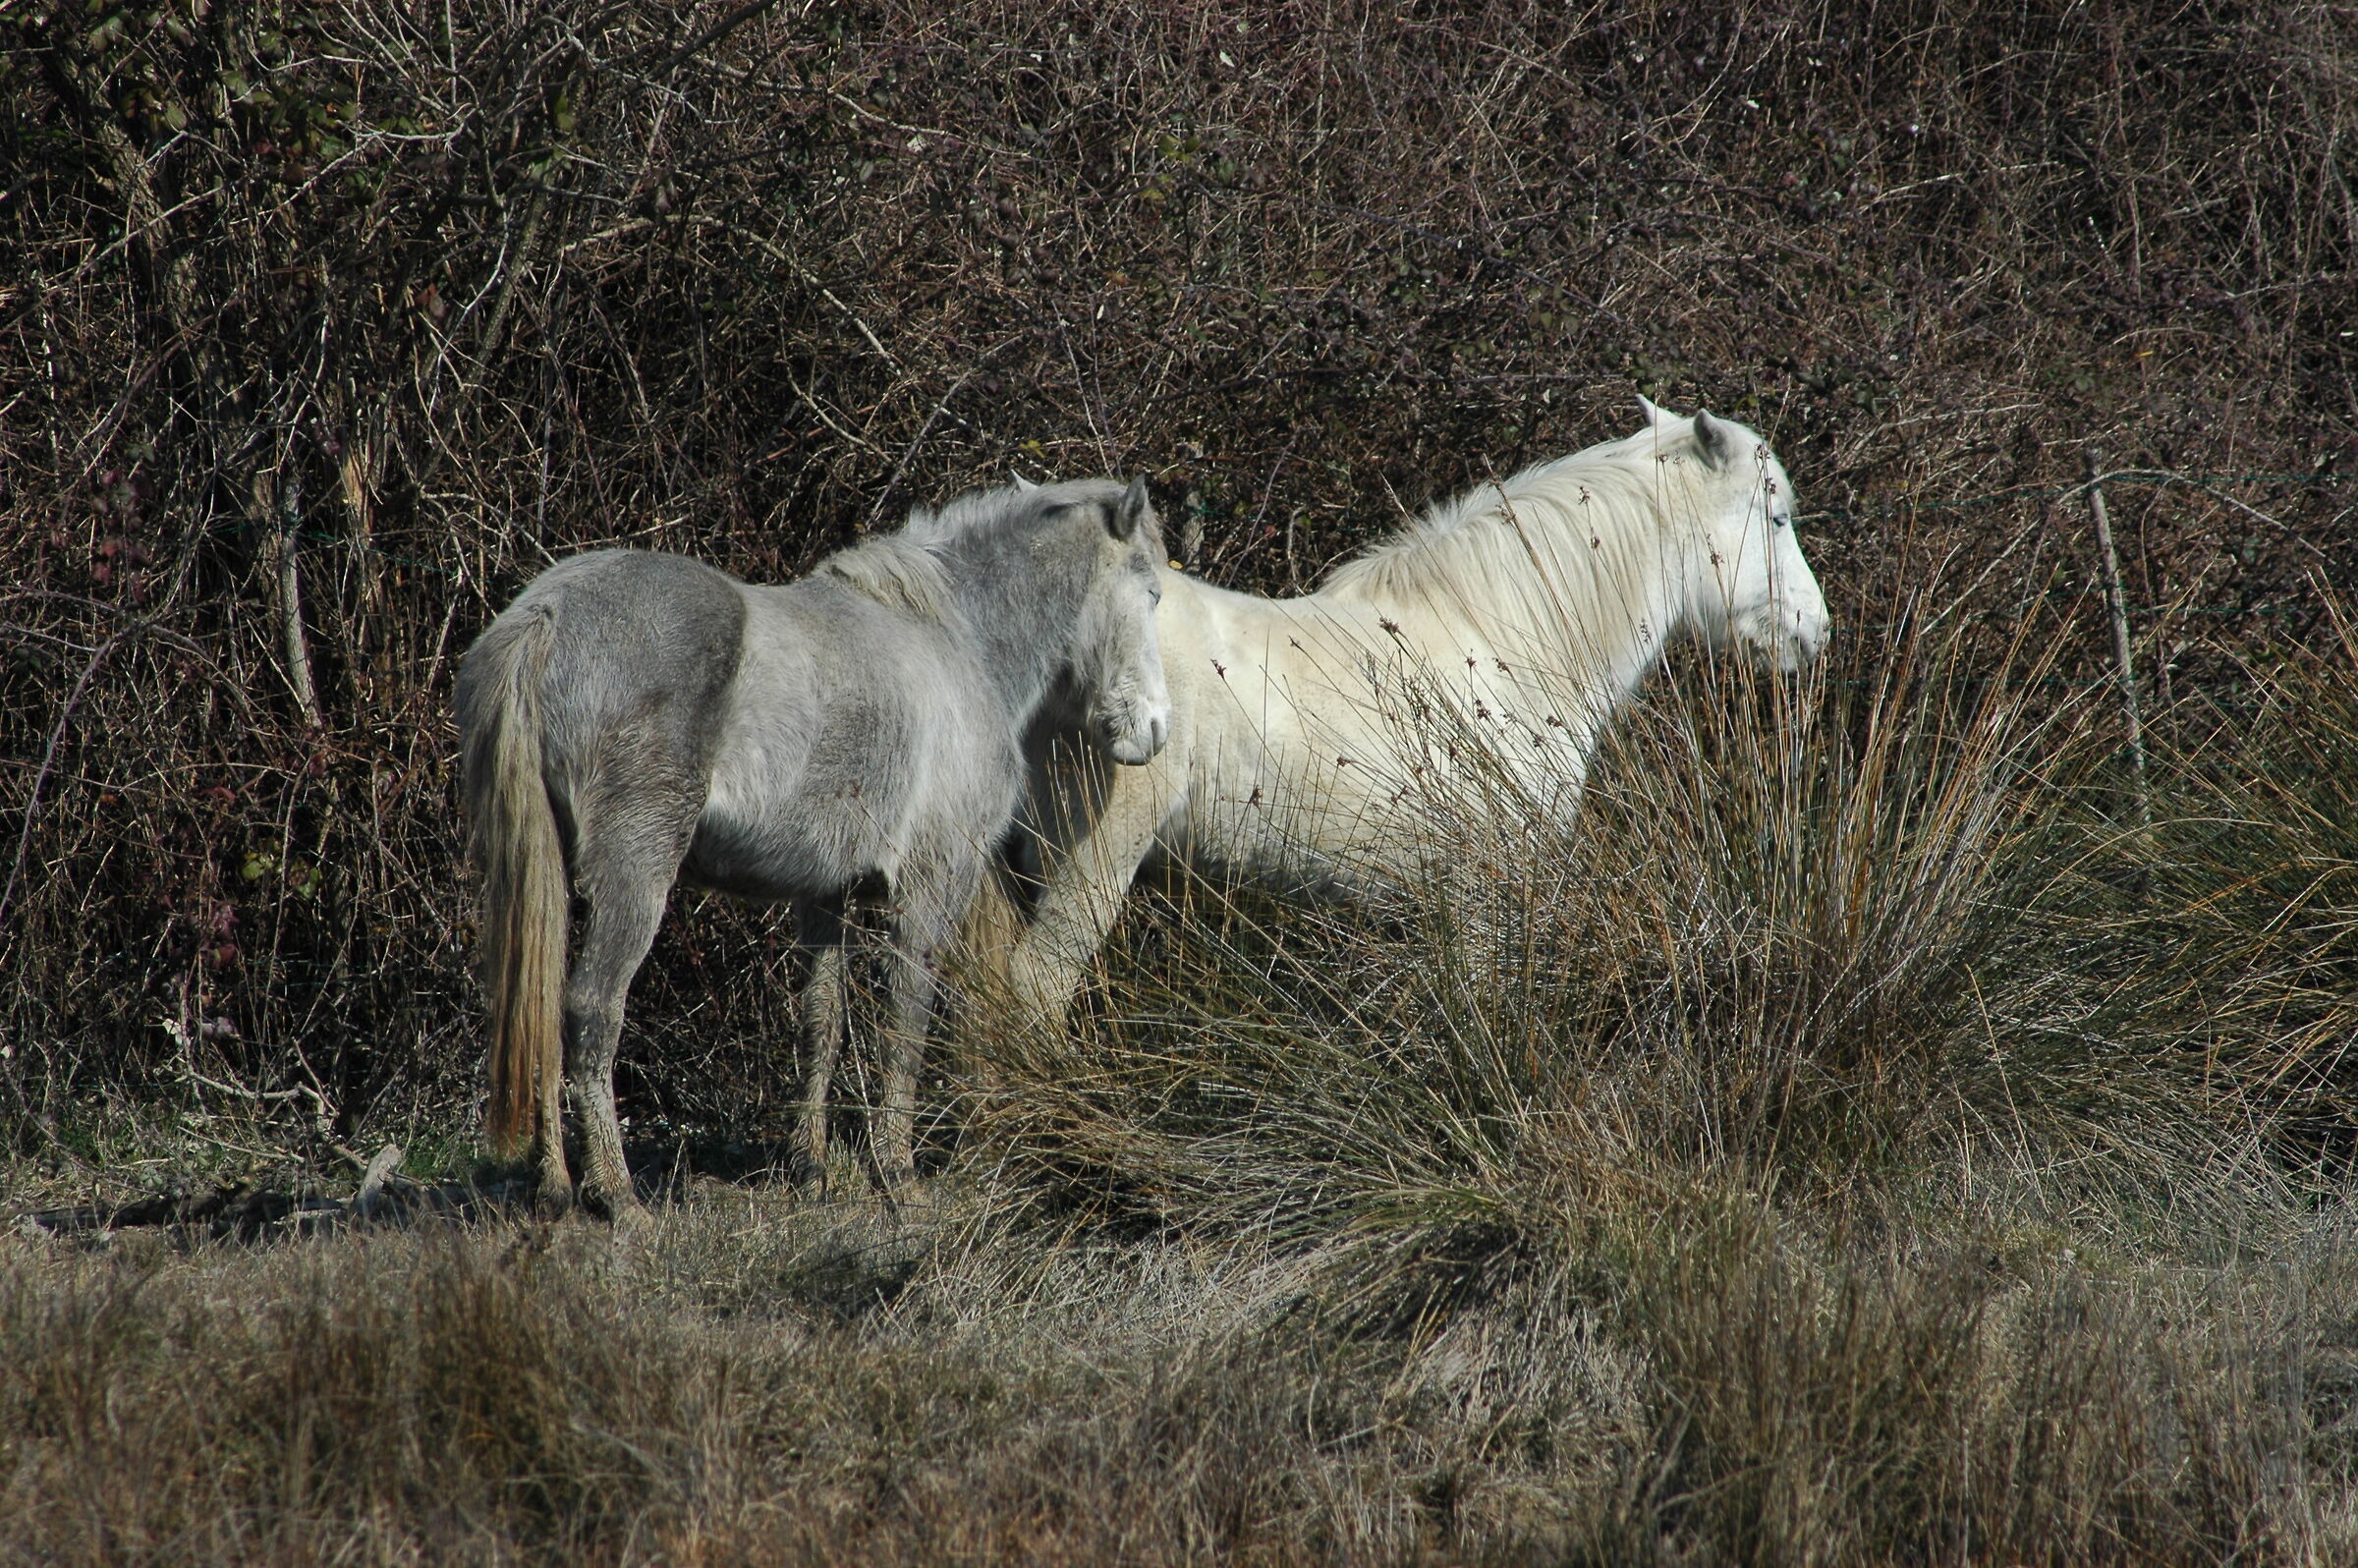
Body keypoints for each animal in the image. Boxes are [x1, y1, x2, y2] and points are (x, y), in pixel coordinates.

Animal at [457, 477, 1169, 1216]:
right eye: (1152, 592)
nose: (1154, 731)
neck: (957, 638)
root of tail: (545, 617)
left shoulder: (825, 894)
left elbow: (822, 1020)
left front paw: (813, 1168)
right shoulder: (930, 886)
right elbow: (906, 1018)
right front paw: (898, 1173)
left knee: (542, 1007)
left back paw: (556, 1187)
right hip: (636, 875)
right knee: (593, 1008)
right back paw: (620, 1196)